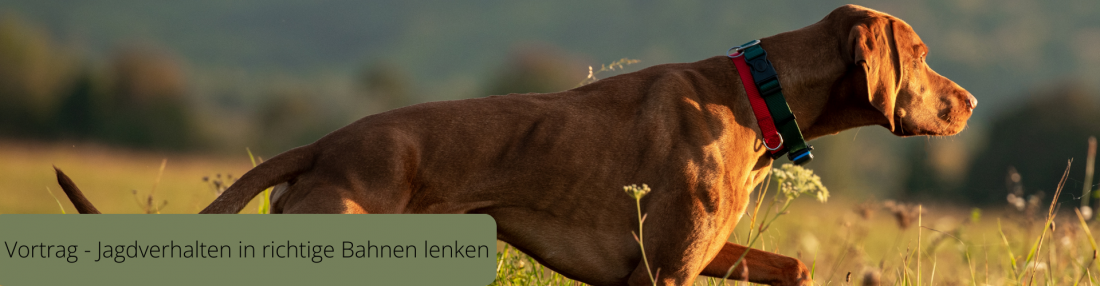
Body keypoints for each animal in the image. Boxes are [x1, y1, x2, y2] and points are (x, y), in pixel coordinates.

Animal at [55, 5, 976, 286]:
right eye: (924, 54)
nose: (968, 101)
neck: (759, 89)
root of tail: (323, 143)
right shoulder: (665, 271)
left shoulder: (691, 255)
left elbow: (797, 265)